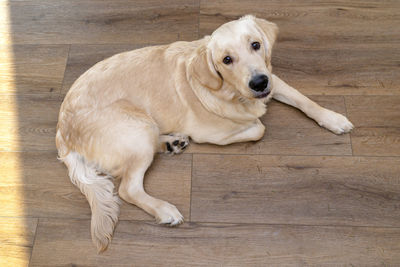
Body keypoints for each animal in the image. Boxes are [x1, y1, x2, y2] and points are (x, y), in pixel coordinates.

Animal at [55, 15, 354, 253]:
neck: (232, 93)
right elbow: (259, 127)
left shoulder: (274, 78)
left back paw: (171, 142)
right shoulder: (212, 132)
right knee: (129, 188)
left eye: (255, 45)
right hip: (138, 129)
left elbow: (304, 100)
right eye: (227, 60)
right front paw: (256, 118)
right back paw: (165, 209)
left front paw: (333, 118)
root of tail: (62, 134)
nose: (258, 83)